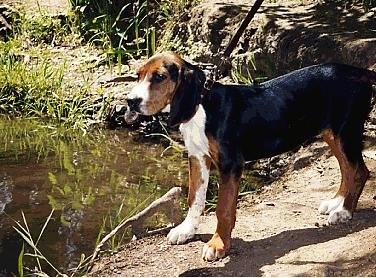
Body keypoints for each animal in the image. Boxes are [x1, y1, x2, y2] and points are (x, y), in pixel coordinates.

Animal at [124, 51, 376, 260]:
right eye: (138, 75)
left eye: (159, 77)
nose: (131, 101)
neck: (202, 105)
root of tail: (359, 73)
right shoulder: (197, 158)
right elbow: (195, 198)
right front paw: (186, 230)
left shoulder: (230, 164)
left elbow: (223, 209)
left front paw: (218, 245)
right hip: (332, 134)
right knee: (347, 168)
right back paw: (336, 202)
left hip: (346, 132)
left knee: (360, 171)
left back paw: (344, 211)